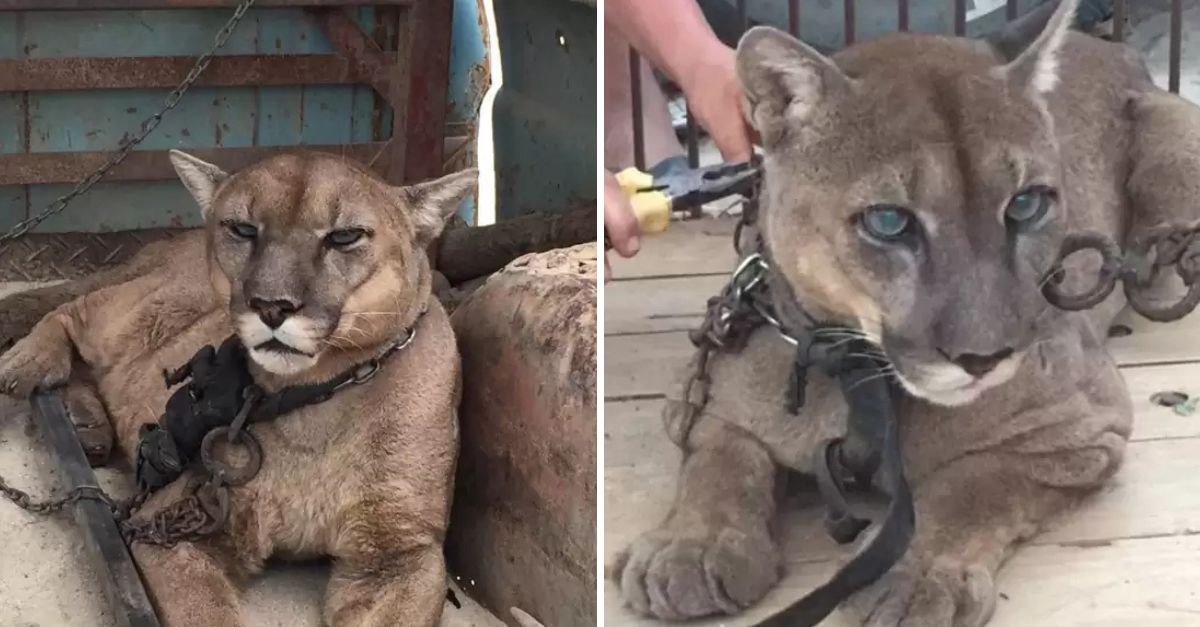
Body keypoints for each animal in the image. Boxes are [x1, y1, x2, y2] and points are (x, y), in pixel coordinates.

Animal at [0, 150, 476, 627]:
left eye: (344, 236)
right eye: (244, 229)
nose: (272, 305)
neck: (312, 406)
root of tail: (175, 241)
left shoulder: (401, 551)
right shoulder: (174, 524)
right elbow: (207, 614)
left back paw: (87, 427)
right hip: (142, 313)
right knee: (73, 310)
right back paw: (28, 364)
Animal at [614, 1, 1200, 625]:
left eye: (1025, 204)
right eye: (888, 221)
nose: (984, 357)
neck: (856, 377)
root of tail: (1114, 47)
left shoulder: (1081, 427)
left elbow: (972, 487)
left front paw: (915, 579)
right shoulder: (702, 391)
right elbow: (718, 459)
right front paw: (691, 546)